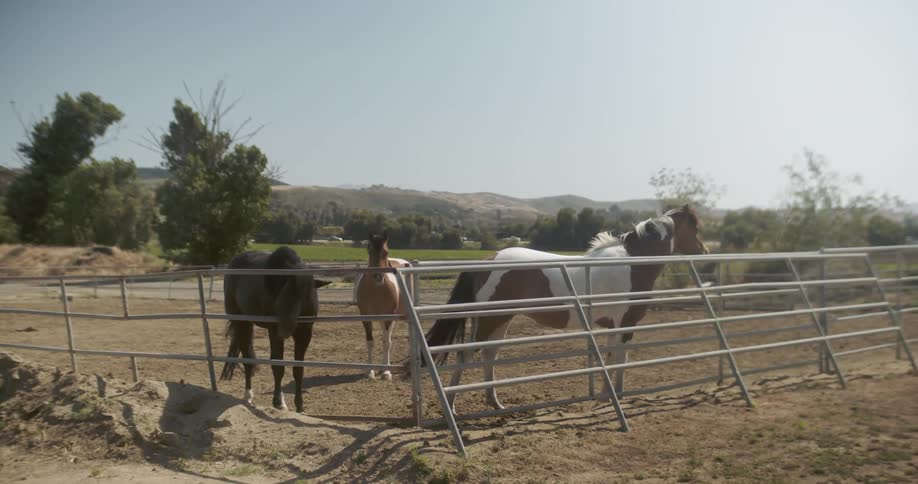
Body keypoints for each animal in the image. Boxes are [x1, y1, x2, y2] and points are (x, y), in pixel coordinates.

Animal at [219, 246, 331, 412]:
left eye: (305, 296)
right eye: (281, 294)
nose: (285, 330)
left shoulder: (304, 334)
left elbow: (298, 370)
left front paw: (300, 407)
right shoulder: (274, 332)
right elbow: (278, 367)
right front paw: (279, 403)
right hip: (241, 322)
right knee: (247, 358)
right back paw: (248, 396)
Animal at [354, 232, 413, 380]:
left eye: (386, 252)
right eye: (369, 250)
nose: (378, 276)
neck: (376, 290)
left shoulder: (389, 317)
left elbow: (387, 343)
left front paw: (386, 372)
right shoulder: (366, 317)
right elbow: (370, 342)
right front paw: (370, 371)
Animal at [425, 205, 708, 412]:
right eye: (695, 227)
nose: (705, 252)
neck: (632, 263)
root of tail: (487, 260)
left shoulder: (612, 325)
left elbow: (610, 358)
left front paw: (605, 396)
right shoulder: (626, 324)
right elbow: (620, 360)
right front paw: (616, 395)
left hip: (501, 319)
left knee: (489, 355)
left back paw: (495, 403)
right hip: (488, 321)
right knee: (465, 356)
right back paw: (452, 406)